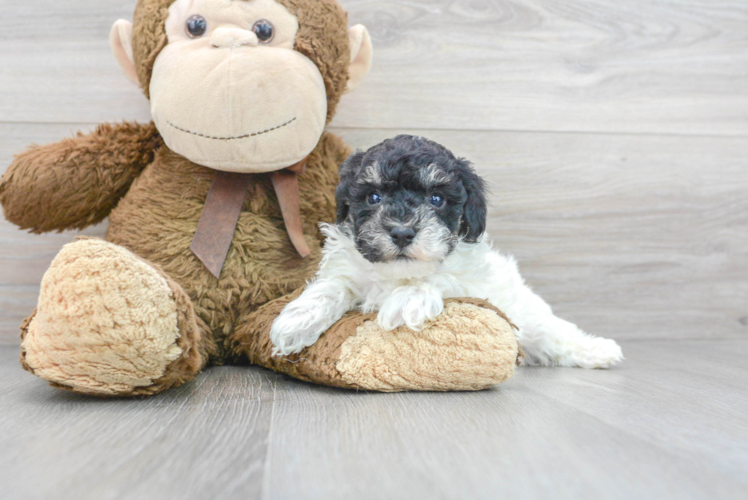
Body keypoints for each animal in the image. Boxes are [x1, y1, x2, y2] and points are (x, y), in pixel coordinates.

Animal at [272, 135, 624, 370]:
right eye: (373, 197)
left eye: (436, 199)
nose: (402, 232)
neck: (398, 274)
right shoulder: (350, 268)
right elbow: (333, 285)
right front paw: (296, 321)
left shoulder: (473, 279)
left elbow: (442, 278)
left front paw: (407, 299)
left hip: (529, 316)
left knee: (556, 334)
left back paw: (601, 351)